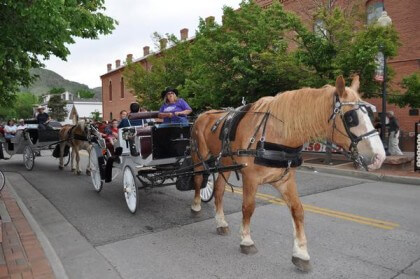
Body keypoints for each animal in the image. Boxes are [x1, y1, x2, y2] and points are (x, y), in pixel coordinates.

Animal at [189, 75, 384, 272]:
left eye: (370, 114)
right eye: (351, 118)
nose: (379, 157)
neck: (276, 134)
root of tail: (201, 115)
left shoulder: (285, 179)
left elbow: (298, 210)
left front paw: (301, 253)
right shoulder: (250, 178)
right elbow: (248, 208)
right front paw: (246, 241)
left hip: (225, 162)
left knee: (219, 190)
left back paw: (221, 222)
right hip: (200, 156)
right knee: (198, 180)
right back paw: (196, 206)